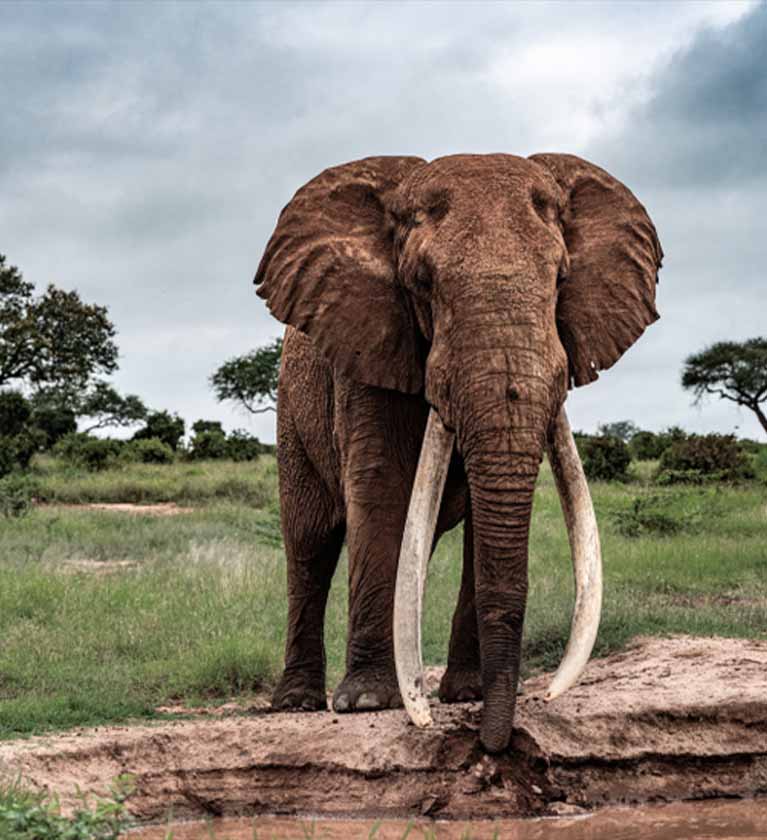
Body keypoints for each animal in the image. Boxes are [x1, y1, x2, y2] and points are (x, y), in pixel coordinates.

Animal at [254, 152, 662, 753]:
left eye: (560, 280)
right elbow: (380, 496)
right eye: (422, 284)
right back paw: (297, 703)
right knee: (308, 545)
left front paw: (465, 694)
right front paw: (368, 701)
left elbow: (477, 522)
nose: (494, 743)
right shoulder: (368, 353)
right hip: (290, 411)